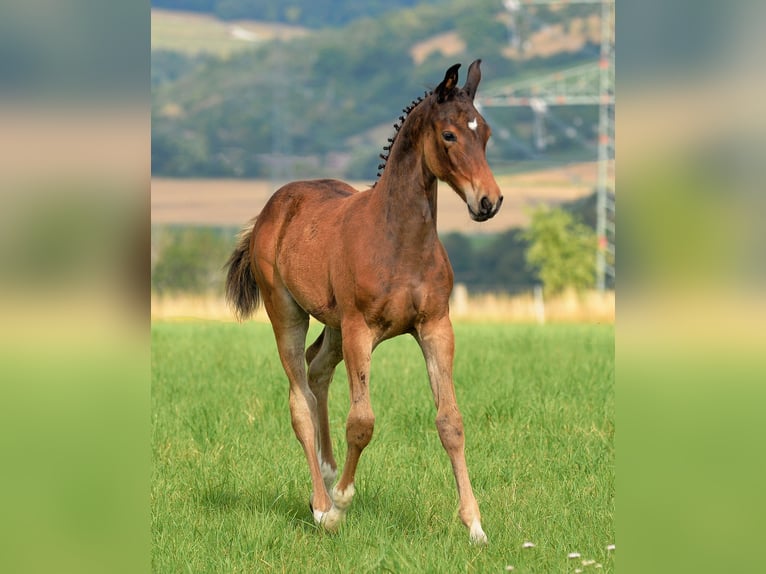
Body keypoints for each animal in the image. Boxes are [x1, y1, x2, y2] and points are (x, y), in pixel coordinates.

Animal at [225, 60, 502, 544]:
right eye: (449, 135)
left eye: (484, 132)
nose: (489, 201)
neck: (399, 241)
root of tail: (272, 208)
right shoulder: (360, 329)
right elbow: (362, 421)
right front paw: (340, 506)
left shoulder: (436, 326)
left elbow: (450, 421)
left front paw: (474, 526)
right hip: (288, 314)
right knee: (300, 398)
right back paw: (321, 503)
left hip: (334, 325)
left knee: (318, 371)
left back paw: (327, 471)